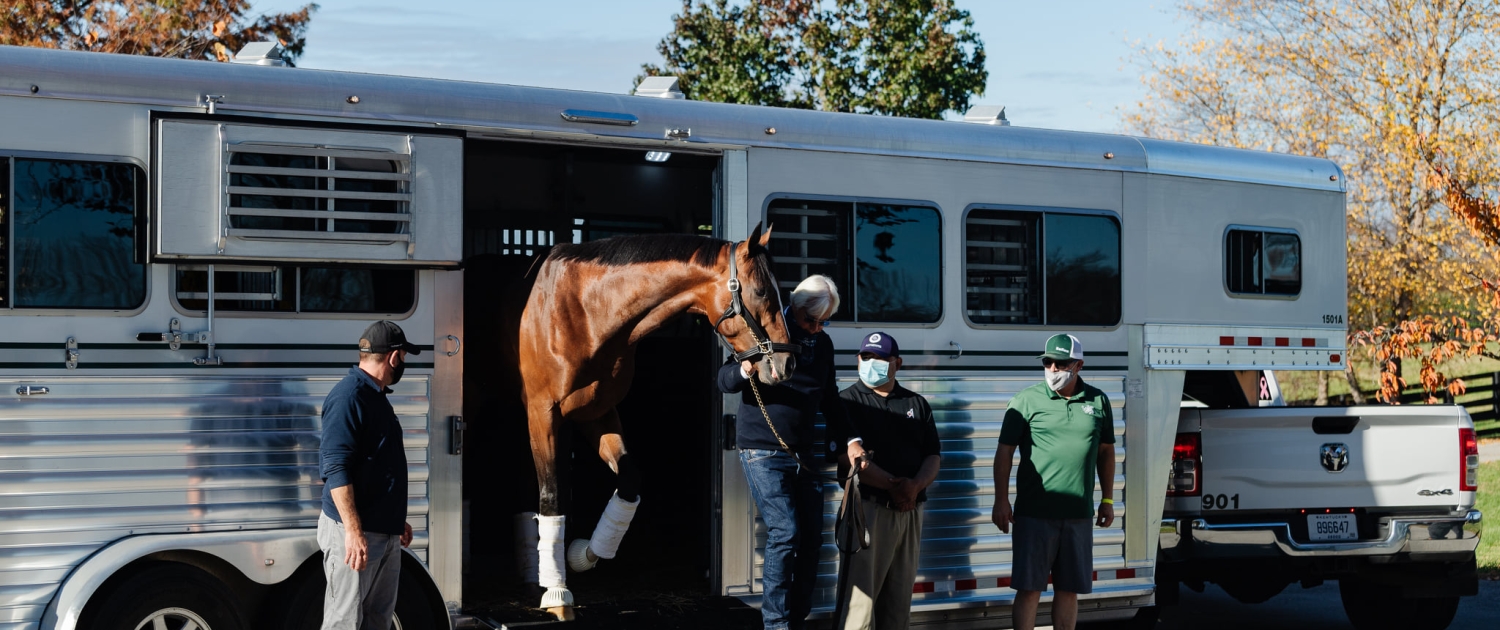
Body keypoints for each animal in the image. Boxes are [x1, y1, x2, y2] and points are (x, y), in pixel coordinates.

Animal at [516, 222, 798, 621]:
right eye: (761, 291)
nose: (786, 366)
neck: (581, 311)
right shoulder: (543, 414)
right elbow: (552, 496)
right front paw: (557, 592)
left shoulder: (598, 411)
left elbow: (629, 480)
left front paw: (584, 554)